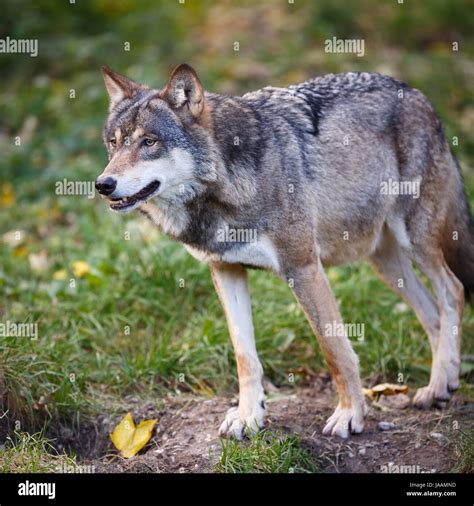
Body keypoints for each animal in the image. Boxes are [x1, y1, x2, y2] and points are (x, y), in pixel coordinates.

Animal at [96, 65, 474, 438]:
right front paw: (249, 416)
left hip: (415, 241)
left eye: (149, 142)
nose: (103, 184)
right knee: (432, 313)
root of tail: (416, 93)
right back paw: (442, 384)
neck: (228, 183)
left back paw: (437, 385)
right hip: (384, 262)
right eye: (113, 144)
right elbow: (245, 356)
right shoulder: (226, 271)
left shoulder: (303, 267)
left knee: (453, 291)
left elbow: (335, 350)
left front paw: (350, 415)